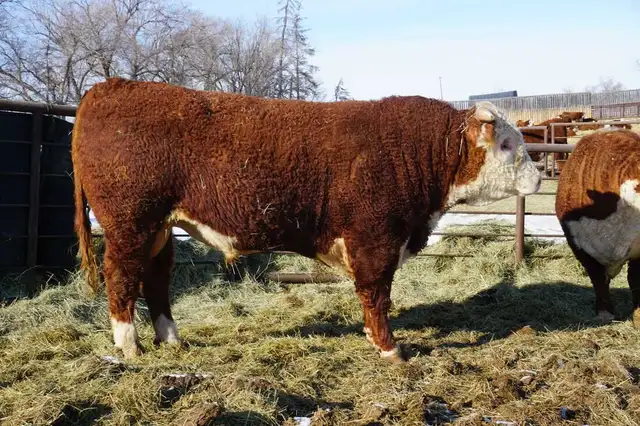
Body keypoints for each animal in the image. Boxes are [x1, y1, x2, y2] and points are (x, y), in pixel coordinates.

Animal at [72, 78, 542, 363]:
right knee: (122, 277)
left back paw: (171, 339)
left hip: (158, 228)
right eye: (505, 143)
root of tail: (108, 86)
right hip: (130, 223)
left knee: (155, 278)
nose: (538, 178)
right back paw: (128, 346)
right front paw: (390, 350)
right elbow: (377, 296)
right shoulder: (375, 239)